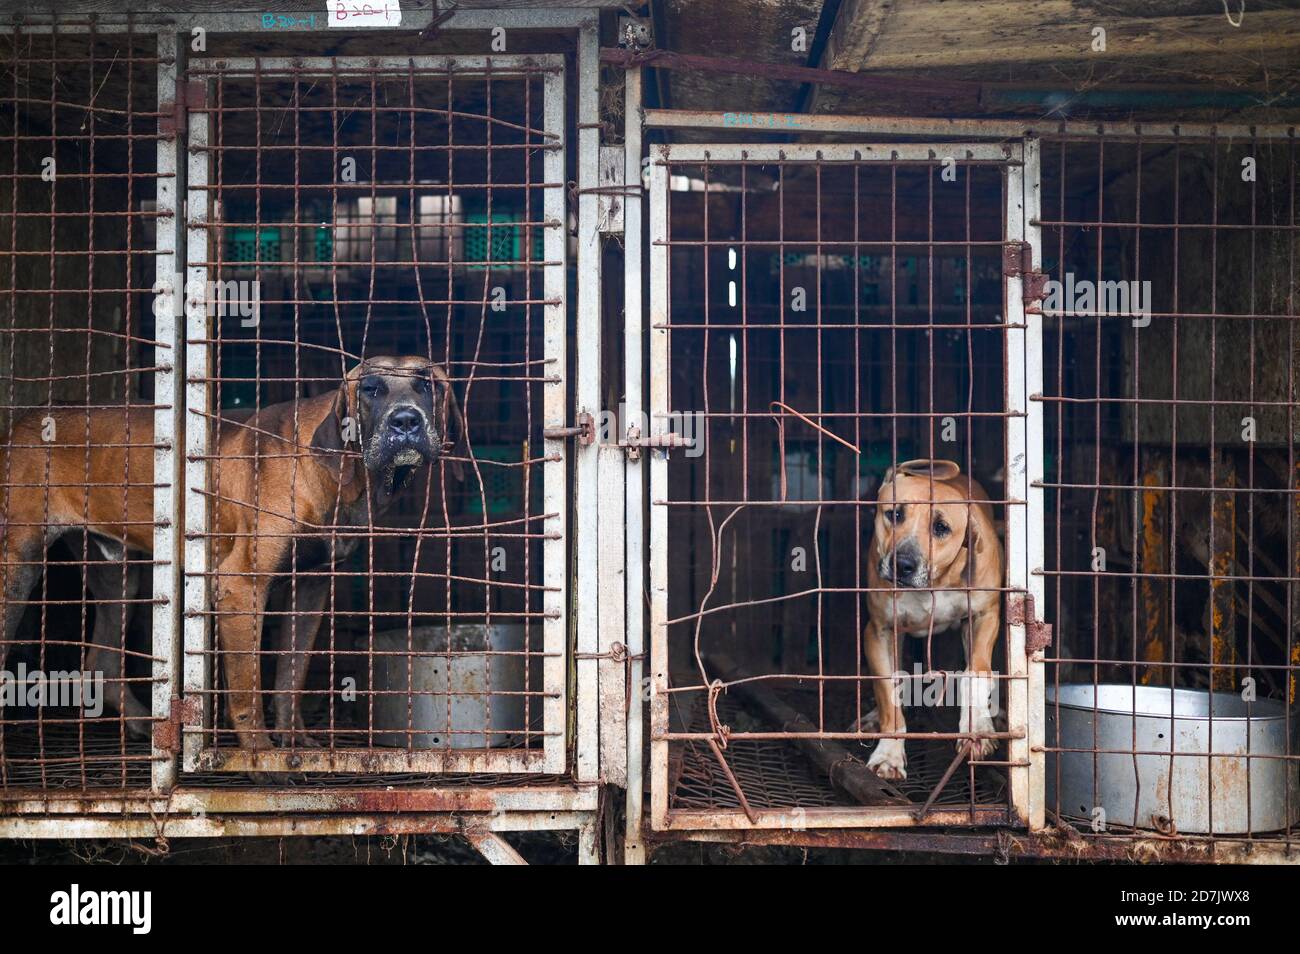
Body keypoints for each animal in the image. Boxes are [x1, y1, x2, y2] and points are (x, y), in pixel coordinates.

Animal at [0, 356, 460, 753]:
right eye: (370, 389)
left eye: (426, 385)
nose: (406, 421)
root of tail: (26, 418)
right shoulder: (241, 584)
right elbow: (246, 680)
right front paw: (259, 755)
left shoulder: (309, 587)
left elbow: (290, 673)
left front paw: (294, 740)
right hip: (19, 566)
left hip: (119, 576)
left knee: (103, 662)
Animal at [863, 460, 1003, 779]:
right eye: (895, 514)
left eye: (941, 528)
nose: (902, 564)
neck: (933, 584)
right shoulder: (880, 631)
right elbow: (888, 690)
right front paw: (889, 754)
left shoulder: (984, 616)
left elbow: (975, 674)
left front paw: (977, 728)